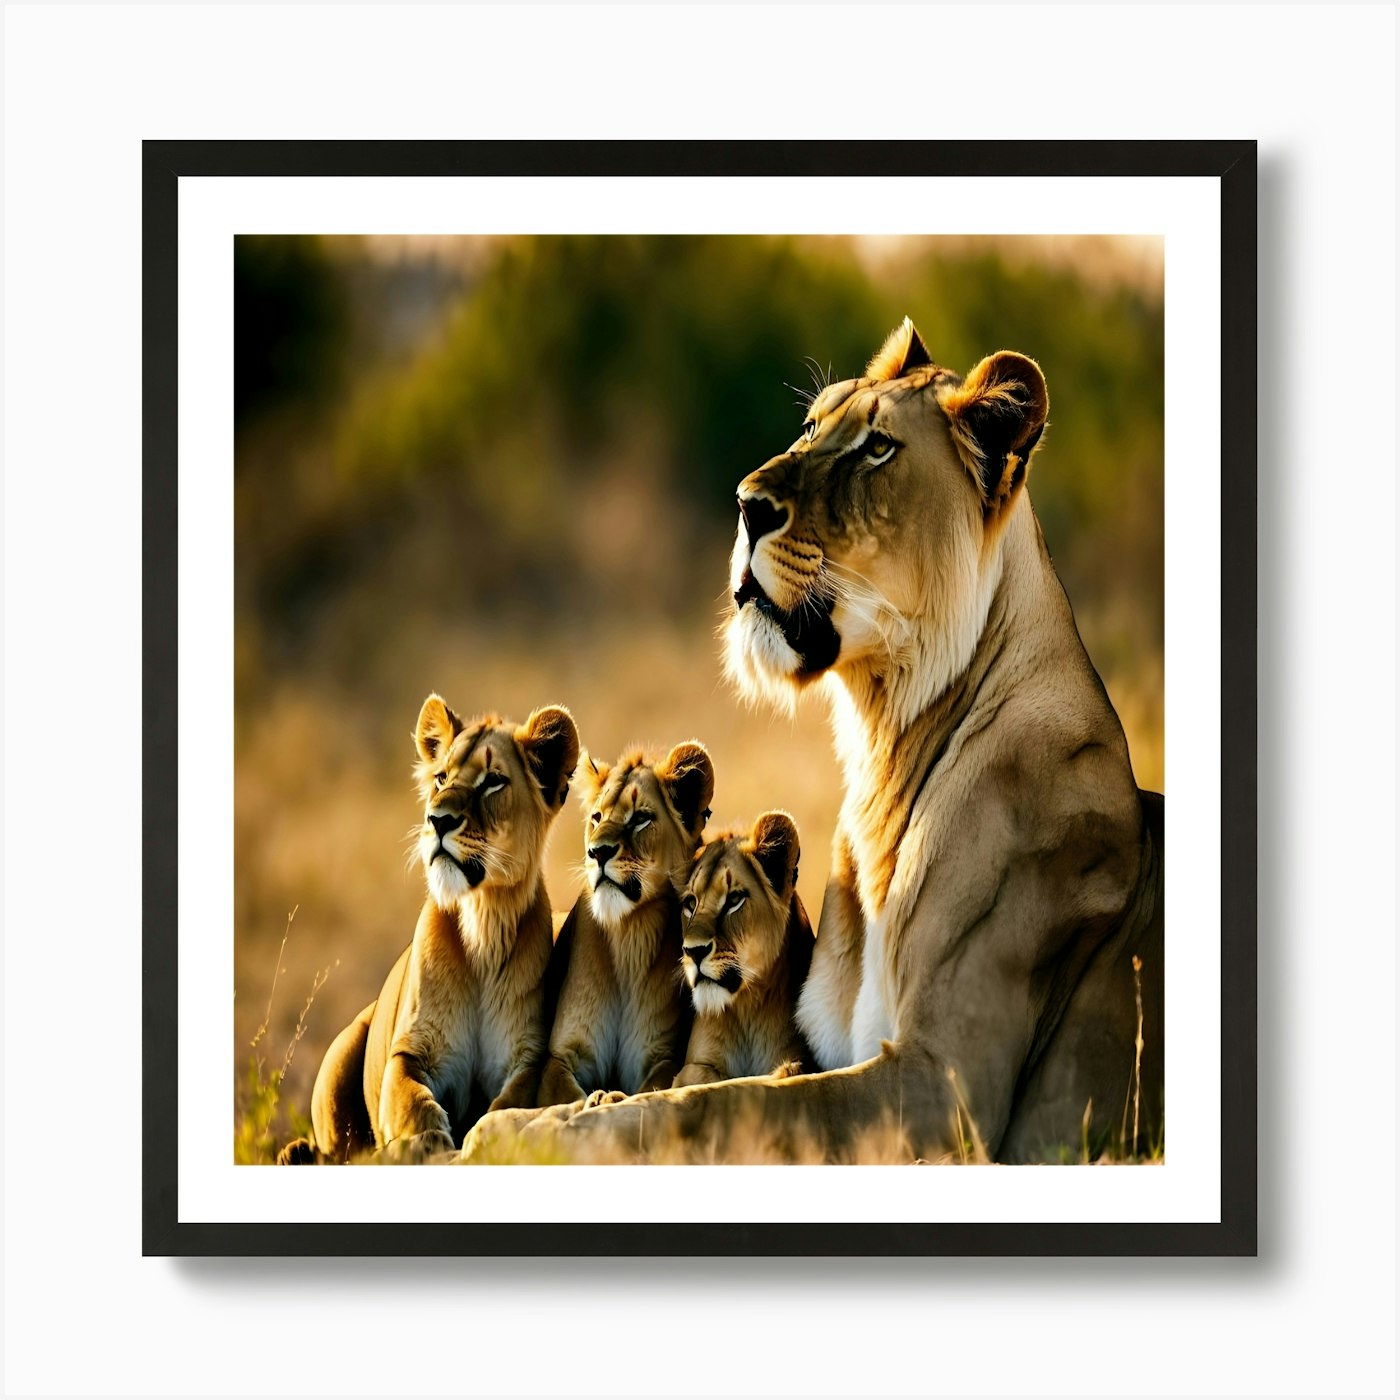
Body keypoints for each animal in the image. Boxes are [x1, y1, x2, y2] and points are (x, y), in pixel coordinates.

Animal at [277, 695, 578, 1162]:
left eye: (493, 782)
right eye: (441, 778)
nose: (437, 820)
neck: (482, 921)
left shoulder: (526, 1057)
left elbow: (507, 1104)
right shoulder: (411, 1051)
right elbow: (411, 1098)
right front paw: (430, 1139)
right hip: (344, 1046)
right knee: (339, 1149)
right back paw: (296, 1153)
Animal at [535, 743, 714, 1105]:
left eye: (641, 819)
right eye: (597, 818)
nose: (597, 852)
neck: (628, 936)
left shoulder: (661, 1055)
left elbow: (648, 1090)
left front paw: (611, 1097)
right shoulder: (562, 1055)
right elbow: (567, 1094)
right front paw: (595, 1098)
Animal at [673, 812, 815, 1087]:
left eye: (734, 899)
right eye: (691, 903)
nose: (693, 951)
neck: (747, 1008)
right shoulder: (695, 1065)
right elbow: (701, 1075)